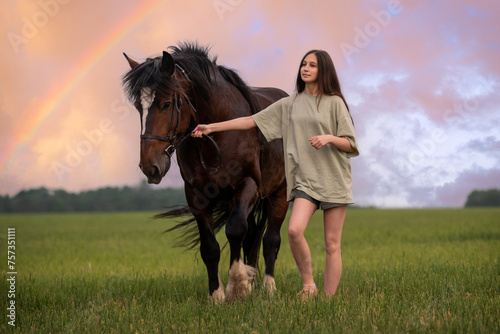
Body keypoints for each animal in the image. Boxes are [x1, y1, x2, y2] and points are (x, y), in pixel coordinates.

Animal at [122, 43, 290, 302]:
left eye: (167, 104)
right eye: (139, 106)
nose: (150, 167)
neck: (217, 132)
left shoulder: (248, 185)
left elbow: (235, 230)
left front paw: (237, 285)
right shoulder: (197, 195)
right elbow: (210, 247)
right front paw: (217, 295)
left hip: (279, 194)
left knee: (270, 239)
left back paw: (268, 288)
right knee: (252, 238)